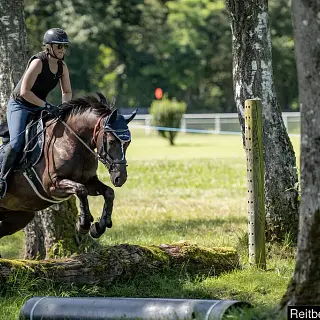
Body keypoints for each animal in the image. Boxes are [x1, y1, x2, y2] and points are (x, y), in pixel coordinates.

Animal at [0, 93, 136, 245]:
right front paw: (83, 224)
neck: (73, 141)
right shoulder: (52, 185)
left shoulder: (89, 181)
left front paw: (99, 227)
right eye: (112, 141)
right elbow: (81, 190)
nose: (120, 178)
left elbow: (108, 192)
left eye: (128, 143)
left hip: (19, 216)